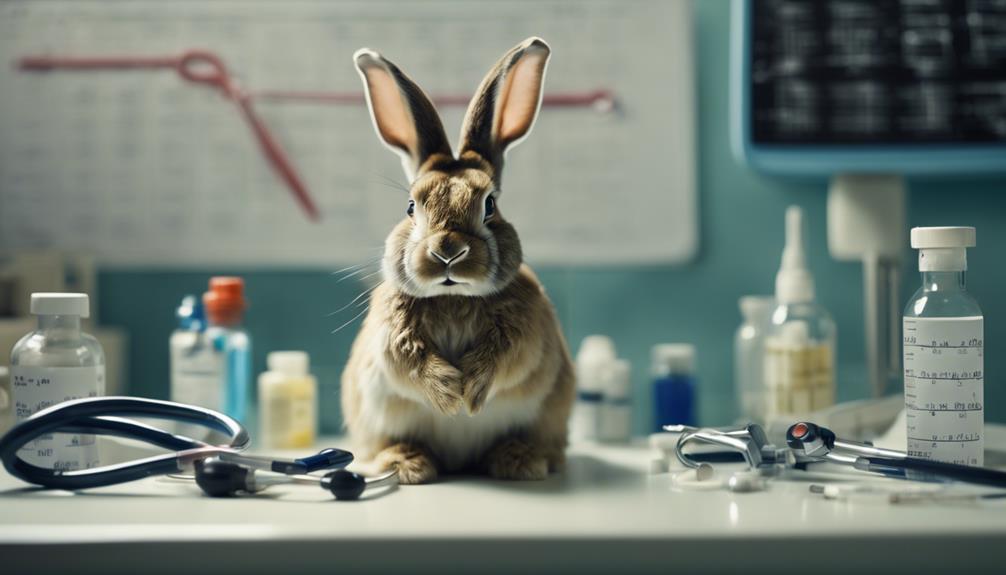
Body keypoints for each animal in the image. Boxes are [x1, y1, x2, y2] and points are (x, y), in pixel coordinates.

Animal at [341, 37, 575, 484]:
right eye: (411, 206)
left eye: (490, 205)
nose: (447, 251)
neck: (453, 298)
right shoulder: (392, 335)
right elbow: (407, 362)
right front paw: (450, 396)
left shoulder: (525, 335)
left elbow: (507, 358)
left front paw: (470, 392)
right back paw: (408, 464)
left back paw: (519, 461)